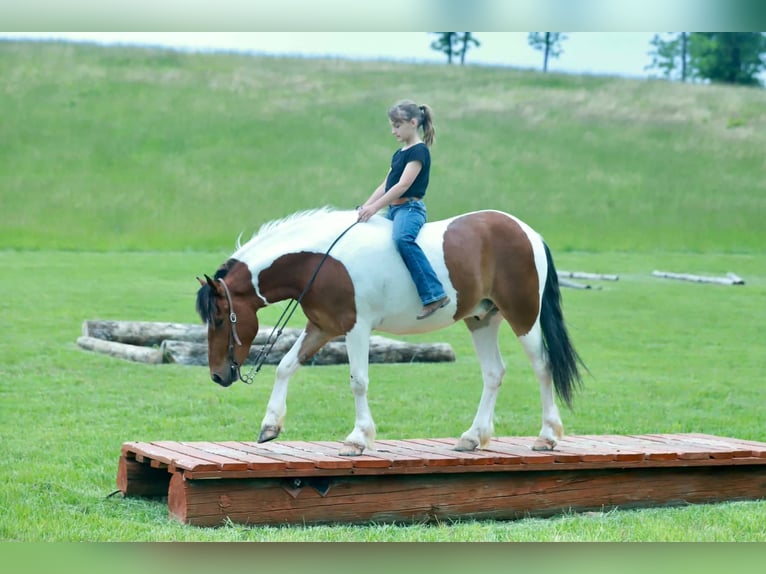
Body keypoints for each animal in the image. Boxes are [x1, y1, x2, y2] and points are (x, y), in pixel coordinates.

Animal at [195, 207, 585, 456]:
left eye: (220, 318)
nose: (217, 376)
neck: (320, 261)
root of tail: (528, 232)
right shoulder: (322, 327)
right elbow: (286, 366)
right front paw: (270, 426)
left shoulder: (355, 328)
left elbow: (358, 381)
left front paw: (358, 439)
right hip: (482, 319)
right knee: (494, 373)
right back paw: (473, 437)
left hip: (523, 315)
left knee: (543, 368)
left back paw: (547, 436)